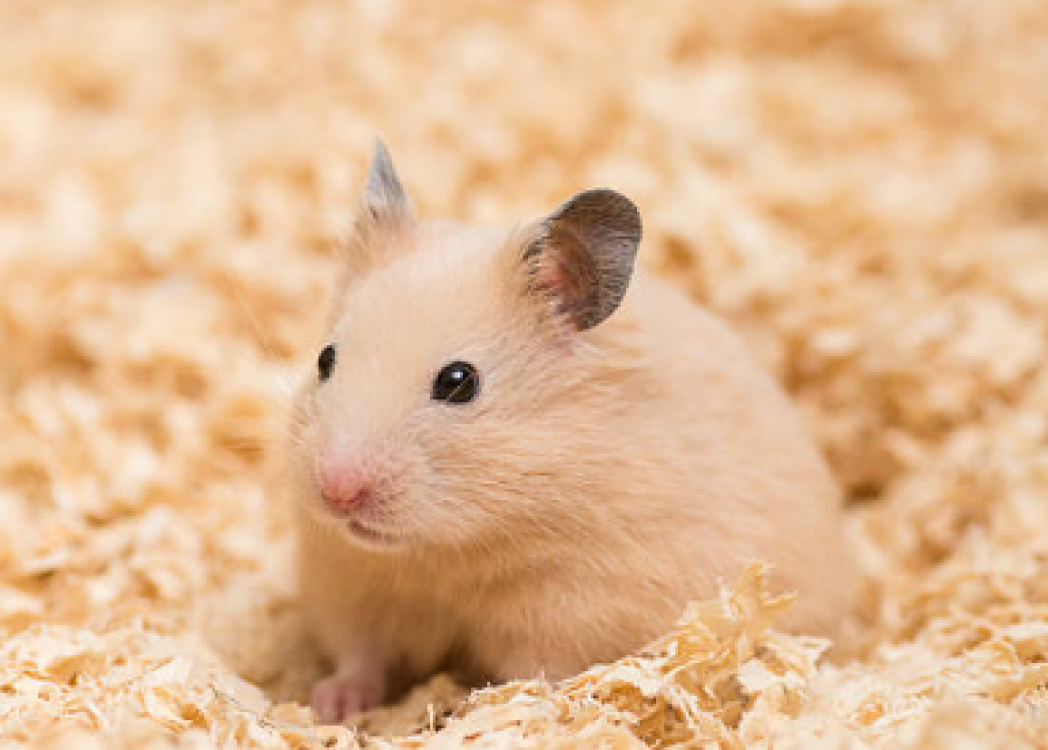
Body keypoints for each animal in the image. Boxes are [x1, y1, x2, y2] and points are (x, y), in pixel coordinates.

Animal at [287, 141, 855, 724]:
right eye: (325, 358)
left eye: (458, 382)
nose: (337, 491)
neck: (444, 555)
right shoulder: (351, 581)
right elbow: (360, 654)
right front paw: (329, 705)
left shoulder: (571, 614)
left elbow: (533, 678)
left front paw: (478, 711)